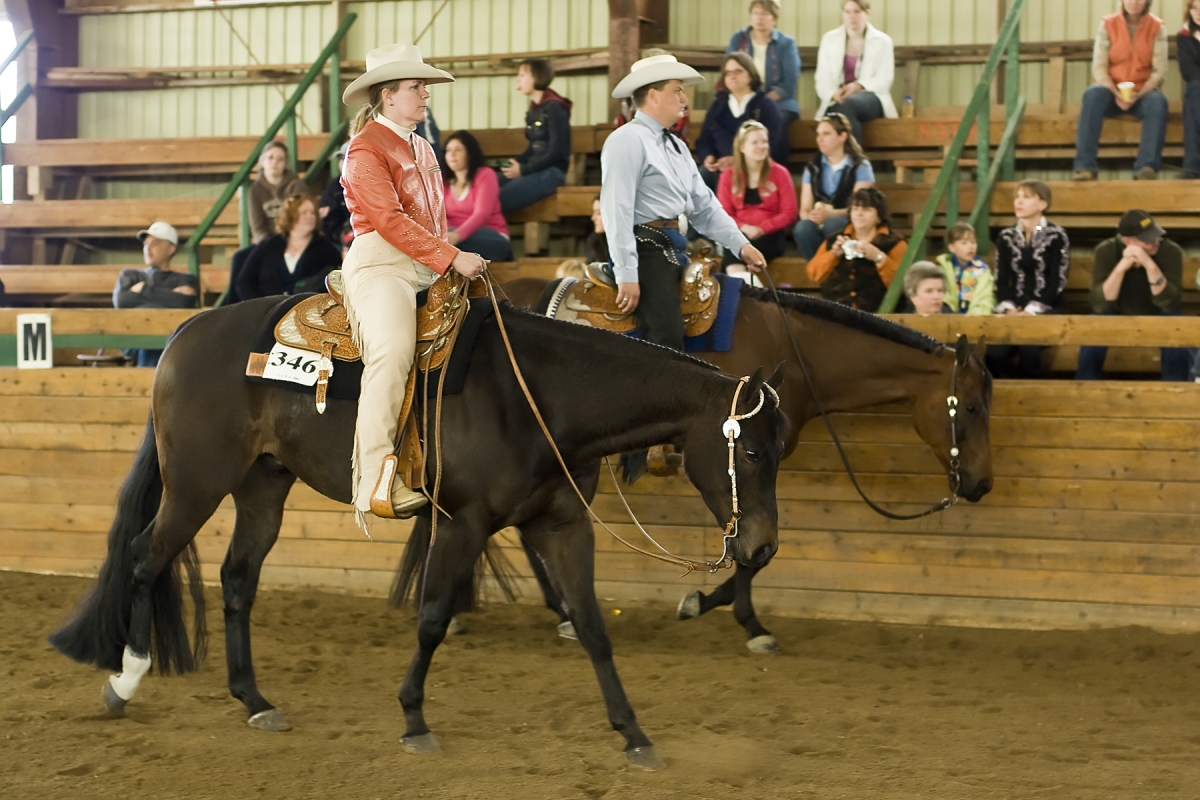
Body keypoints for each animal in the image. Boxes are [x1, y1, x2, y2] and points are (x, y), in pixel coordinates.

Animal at [48, 292, 787, 771]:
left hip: (263, 485)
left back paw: (253, 699)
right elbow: (431, 617)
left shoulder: (562, 523)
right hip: (198, 483)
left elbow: (593, 627)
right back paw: (124, 681)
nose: (761, 547)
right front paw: (413, 718)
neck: (539, 396)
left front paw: (633, 733)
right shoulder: (463, 523)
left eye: (782, 450)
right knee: (145, 559)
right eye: (751, 451)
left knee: (237, 580)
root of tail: (184, 335)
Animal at [425, 278, 993, 653]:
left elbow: (751, 547)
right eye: (970, 407)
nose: (982, 484)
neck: (795, 350)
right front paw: (737, 618)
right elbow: (753, 554)